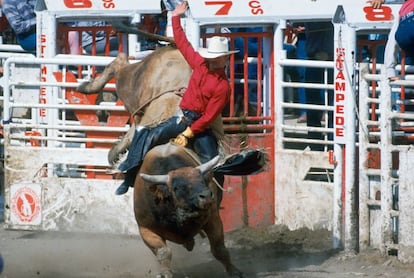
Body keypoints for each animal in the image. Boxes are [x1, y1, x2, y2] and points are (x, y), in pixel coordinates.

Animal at [135, 142, 243, 276]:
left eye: (202, 180)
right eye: (177, 187)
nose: (207, 196)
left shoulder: (213, 219)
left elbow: (219, 249)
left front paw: (234, 271)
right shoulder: (145, 229)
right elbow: (163, 252)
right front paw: (165, 273)